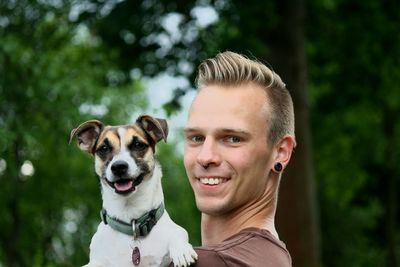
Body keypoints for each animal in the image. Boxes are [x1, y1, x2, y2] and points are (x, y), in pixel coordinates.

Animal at [71, 115, 199, 267]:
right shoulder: (98, 260)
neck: (132, 224)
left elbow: (179, 232)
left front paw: (181, 250)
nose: (119, 166)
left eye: (138, 145)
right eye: (103, 148)